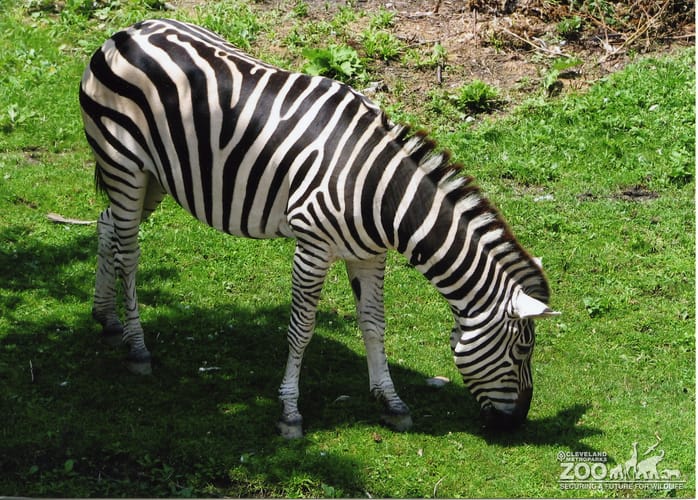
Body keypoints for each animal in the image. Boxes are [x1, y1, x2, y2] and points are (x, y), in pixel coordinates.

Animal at [79, 18, 559, 438]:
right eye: (523, 350)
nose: (516, 424)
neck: (381, 193)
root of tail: (130, 30)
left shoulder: (369, 254)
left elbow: (374, 323)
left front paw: (391, 402)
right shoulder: (311, 246)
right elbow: (302, 327)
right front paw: (290, 412)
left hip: (155, 177)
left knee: (107, 226)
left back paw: (106, 318)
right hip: (125, 163)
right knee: (128, 251)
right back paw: (137, 347)